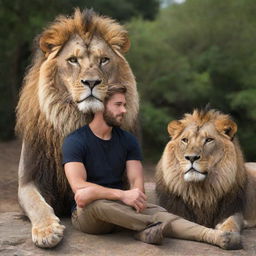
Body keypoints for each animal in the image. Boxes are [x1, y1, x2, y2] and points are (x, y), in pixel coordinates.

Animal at [15, 8, 139, 248]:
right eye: (73, 60)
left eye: (103, 60)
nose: (91, 82)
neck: (76, 120)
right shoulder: (28, 178)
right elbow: (37, 203)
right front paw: (47, 231)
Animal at [155, 109, 256, 249]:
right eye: (185, 140)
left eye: (209, 140)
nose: (191, 158)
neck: (200, 191)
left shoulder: (233, 209)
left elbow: (232, 222)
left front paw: (228, 235)